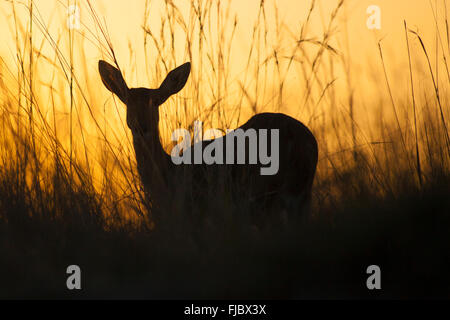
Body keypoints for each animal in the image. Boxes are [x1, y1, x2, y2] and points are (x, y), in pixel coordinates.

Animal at [99, 59, 316, 220]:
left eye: (156, 101)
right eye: (127, 101)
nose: (140, 125)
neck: (169, 171)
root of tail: (307, 142)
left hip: (264, 192)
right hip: (300, 194)